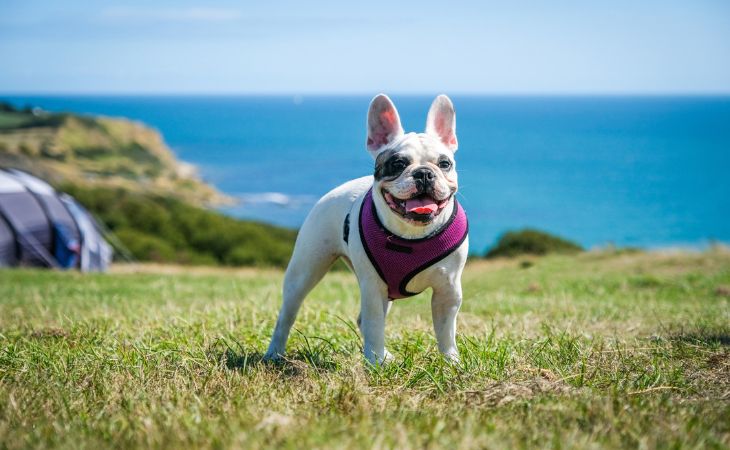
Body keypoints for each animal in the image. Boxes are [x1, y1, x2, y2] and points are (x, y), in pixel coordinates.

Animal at [264, 95, 470, 366]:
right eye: (398, 164)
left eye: (444, 163)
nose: (424, 173)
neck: (410, 235)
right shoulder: (372, 287)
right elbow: (374, 325)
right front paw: (375, 363)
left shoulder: (448, 290)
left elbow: (446, 331)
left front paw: (451, 362)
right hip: (304, 271)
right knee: (287, 315)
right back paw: (274, 353)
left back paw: (387, 356)